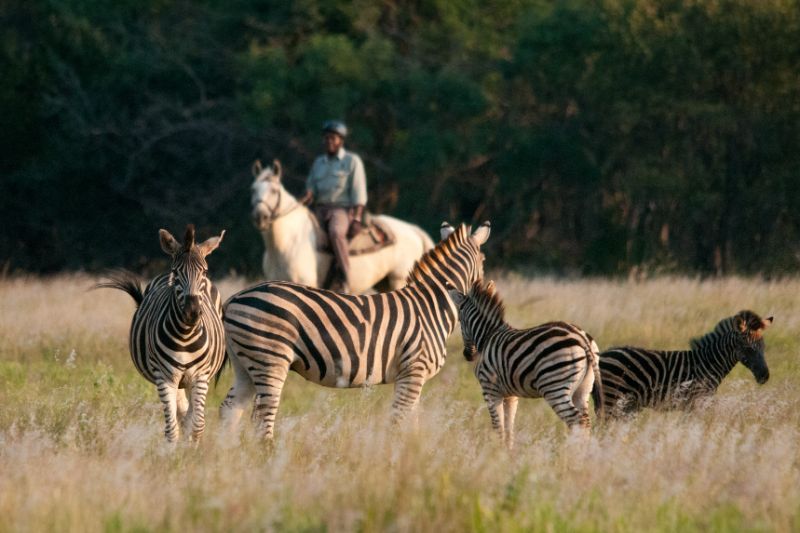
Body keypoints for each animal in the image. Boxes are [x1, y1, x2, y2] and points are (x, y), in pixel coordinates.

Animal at [249, 159, 435, 294]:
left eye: (274, 190)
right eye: (253, 189)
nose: (260, 217)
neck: (286, 243)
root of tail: (413, 229)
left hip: (399, 279)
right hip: (385, 283)